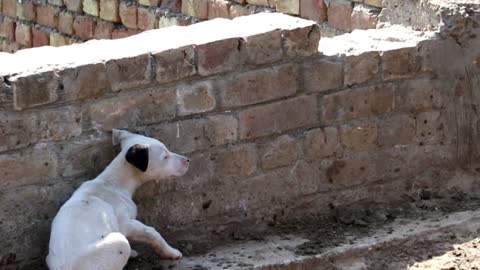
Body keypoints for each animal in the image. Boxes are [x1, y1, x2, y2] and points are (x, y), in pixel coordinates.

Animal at [46, 130, 189, 268]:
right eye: (165, 157)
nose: (188, 160)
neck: (113, 183)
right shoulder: (126, 224)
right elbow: (152, 232)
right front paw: (171, 252)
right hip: (120, 243)